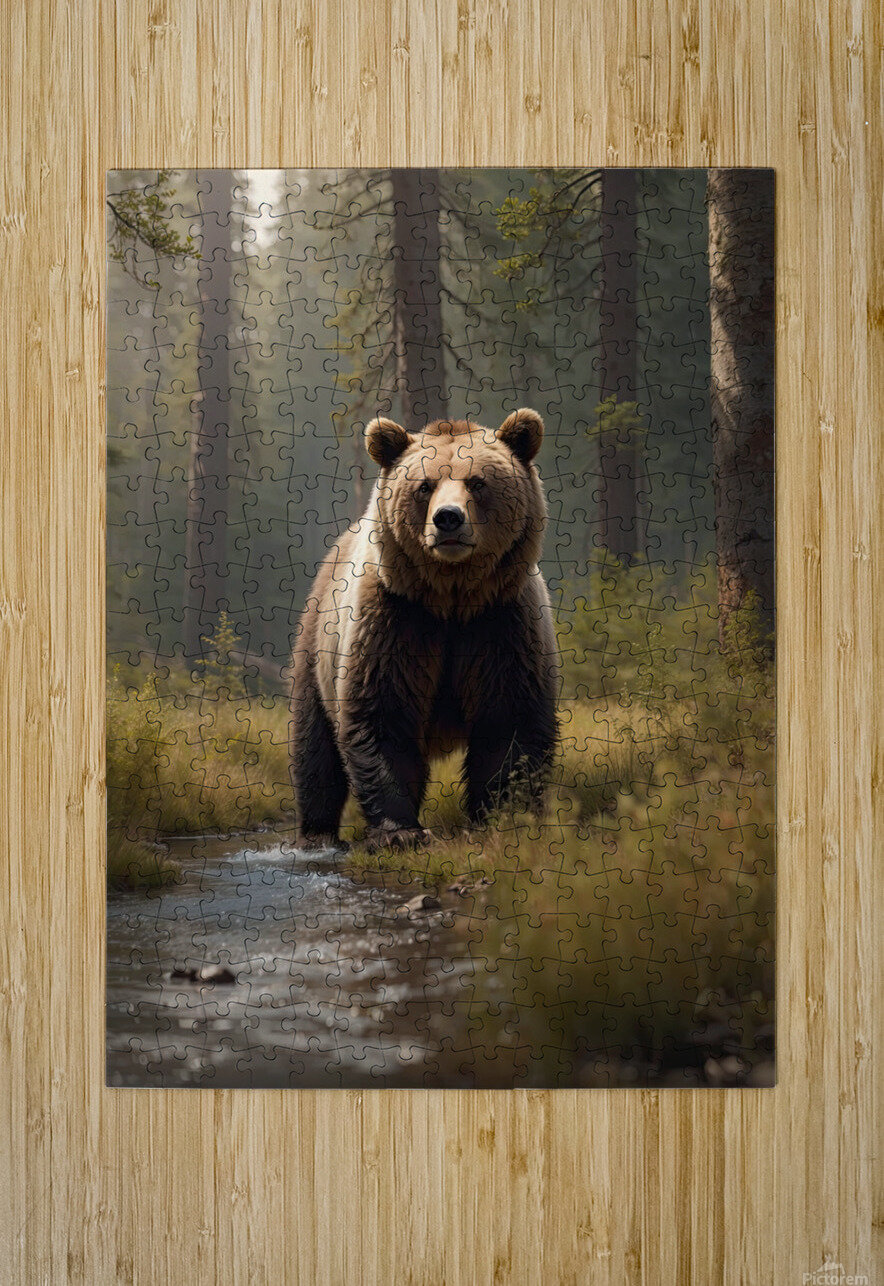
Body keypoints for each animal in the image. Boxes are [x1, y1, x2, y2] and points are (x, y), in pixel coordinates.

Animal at [289, 409, 559, 849]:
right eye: (424, 485)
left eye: (477, 482)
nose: (448, 518)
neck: (451, 599)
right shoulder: (396, 620)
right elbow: (383, 716)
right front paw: (400, 832)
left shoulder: (501, 623)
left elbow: (509, 722)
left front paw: (501, 817)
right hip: (316, 649)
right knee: (314, 750)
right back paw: (317, 832)